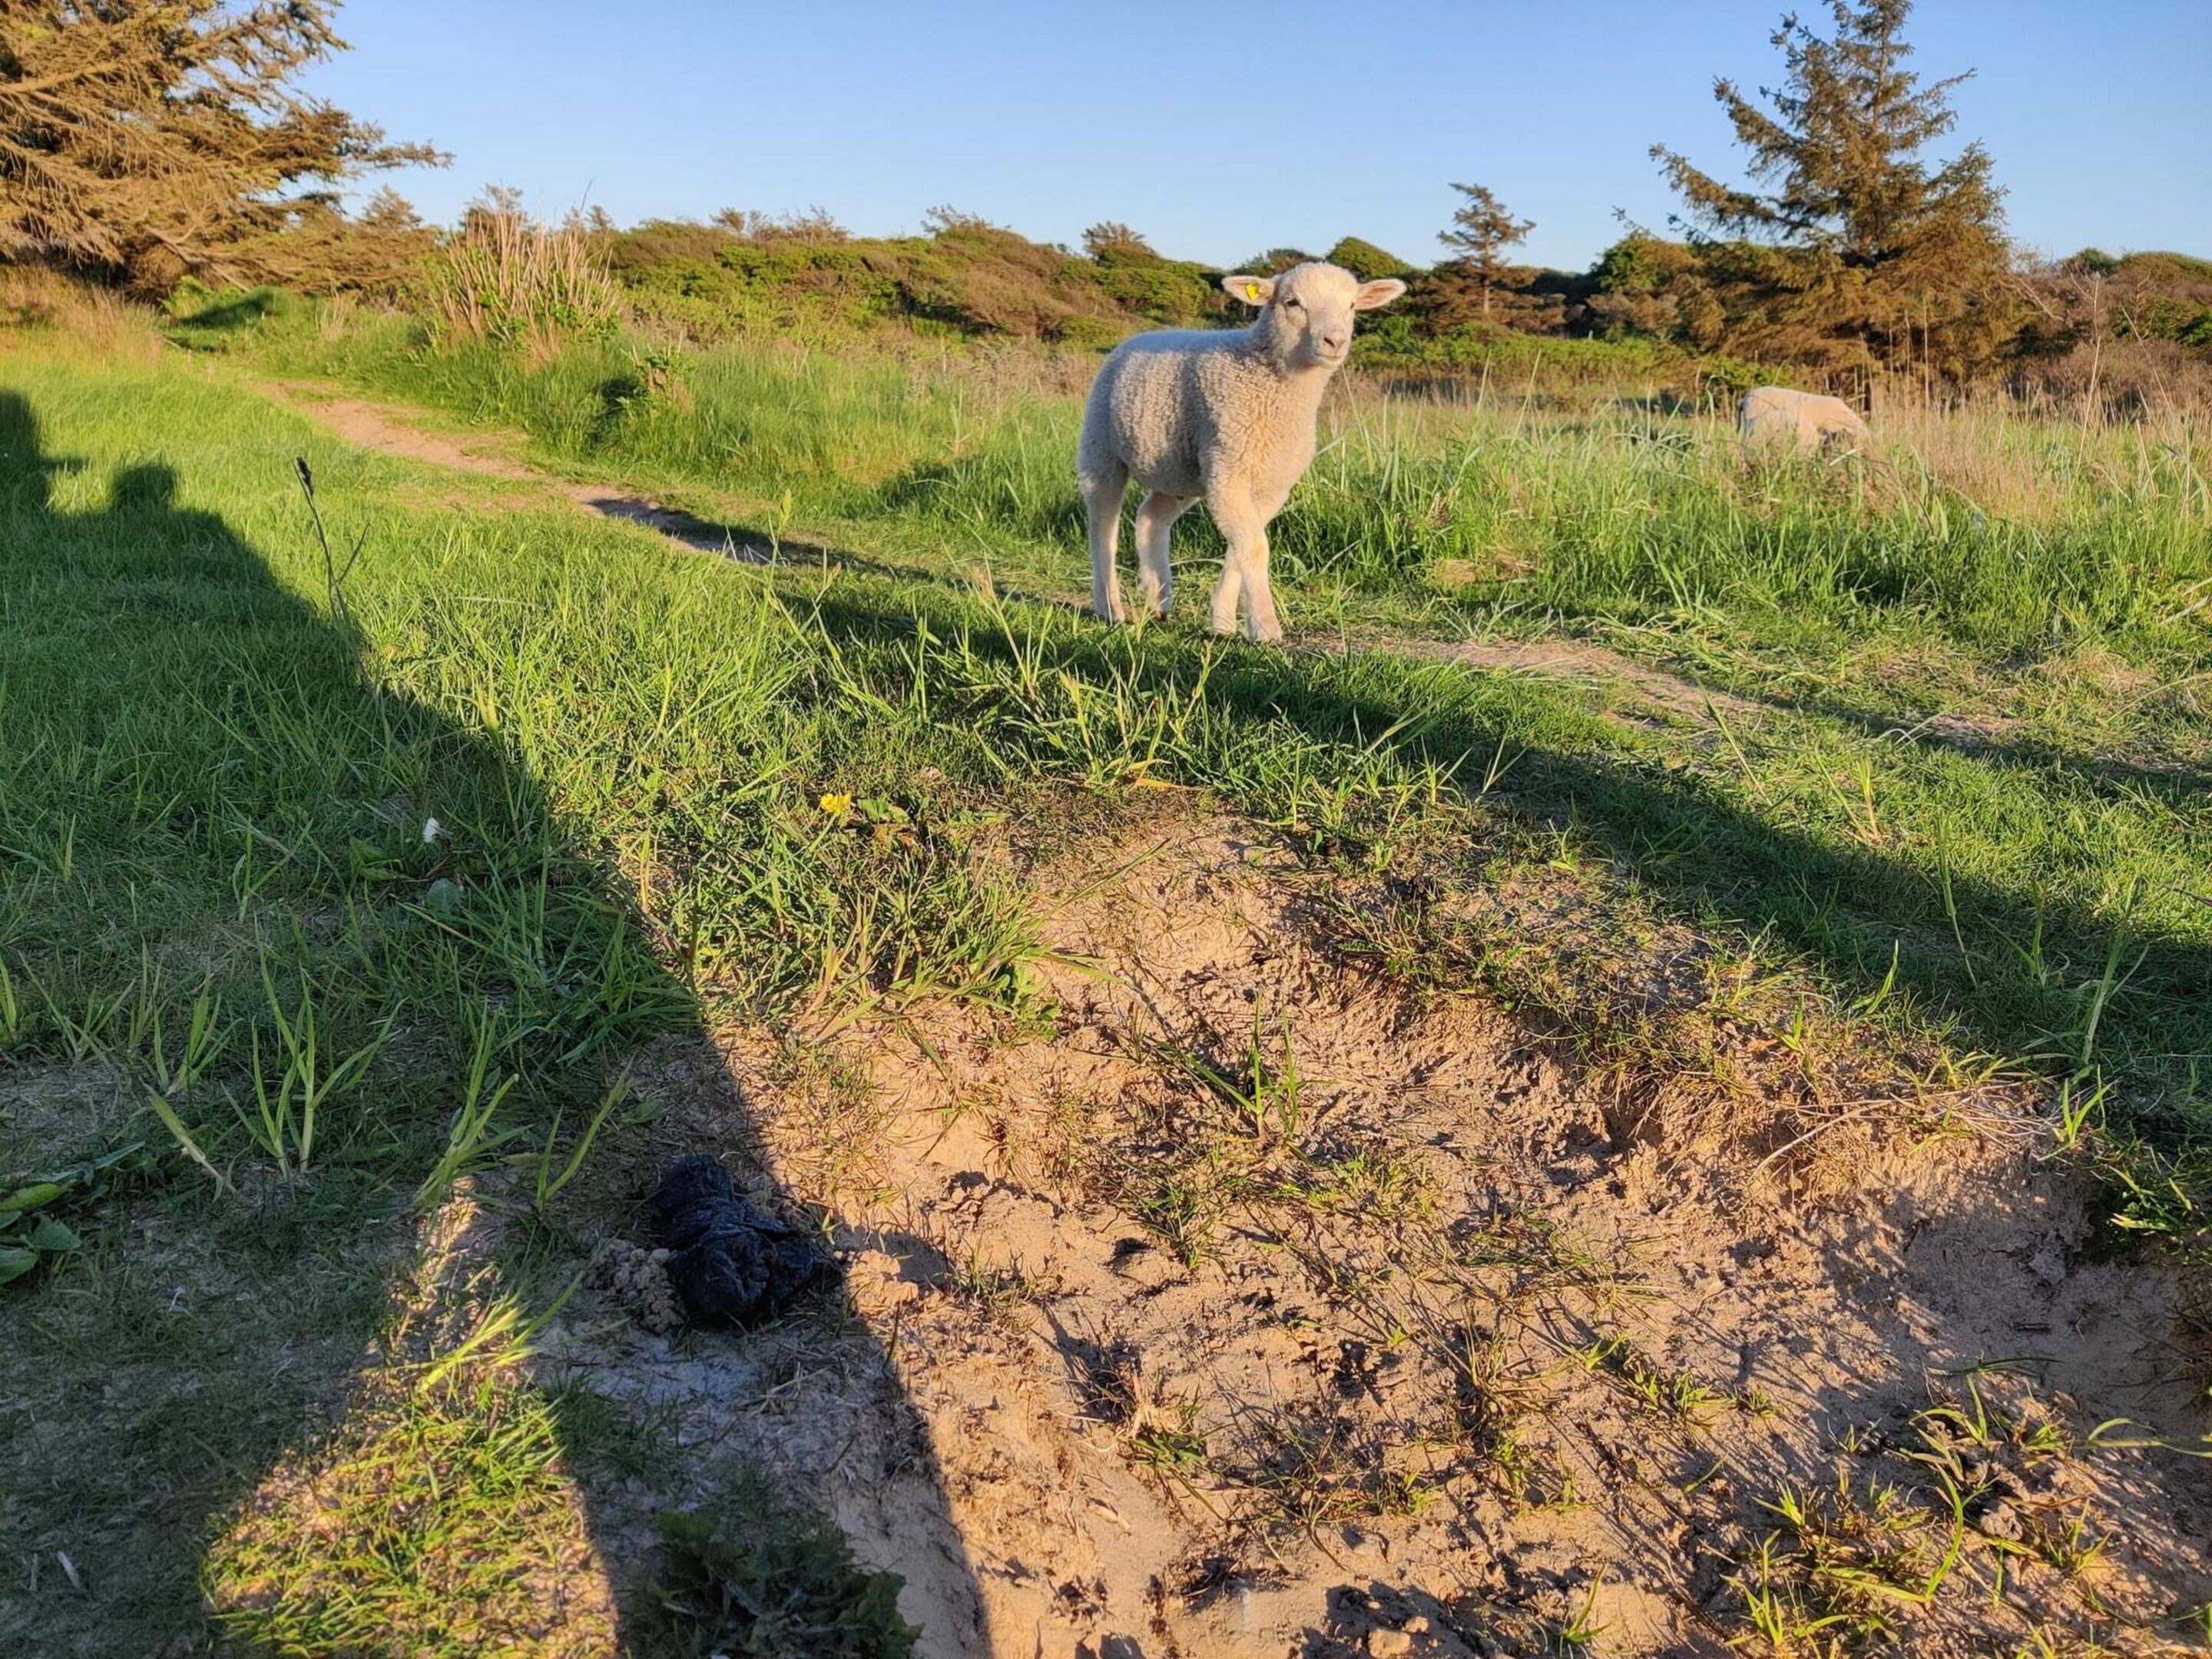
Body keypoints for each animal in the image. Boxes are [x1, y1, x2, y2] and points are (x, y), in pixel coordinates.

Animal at [1076, 261, 1406, 643]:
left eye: (1352, 306)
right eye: (1292, 302)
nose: (1335, 341)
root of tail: (1135, 338)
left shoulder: (1271, 484)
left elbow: (1243, 547)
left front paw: (1222, 622)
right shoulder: (1229, 472)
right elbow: (1255, 547)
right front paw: (1265, 628)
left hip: (1181, 471)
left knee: (1149, 517)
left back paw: (1159, 601)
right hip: (1101, 446)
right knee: (1102, 525)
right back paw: (1110, 607)